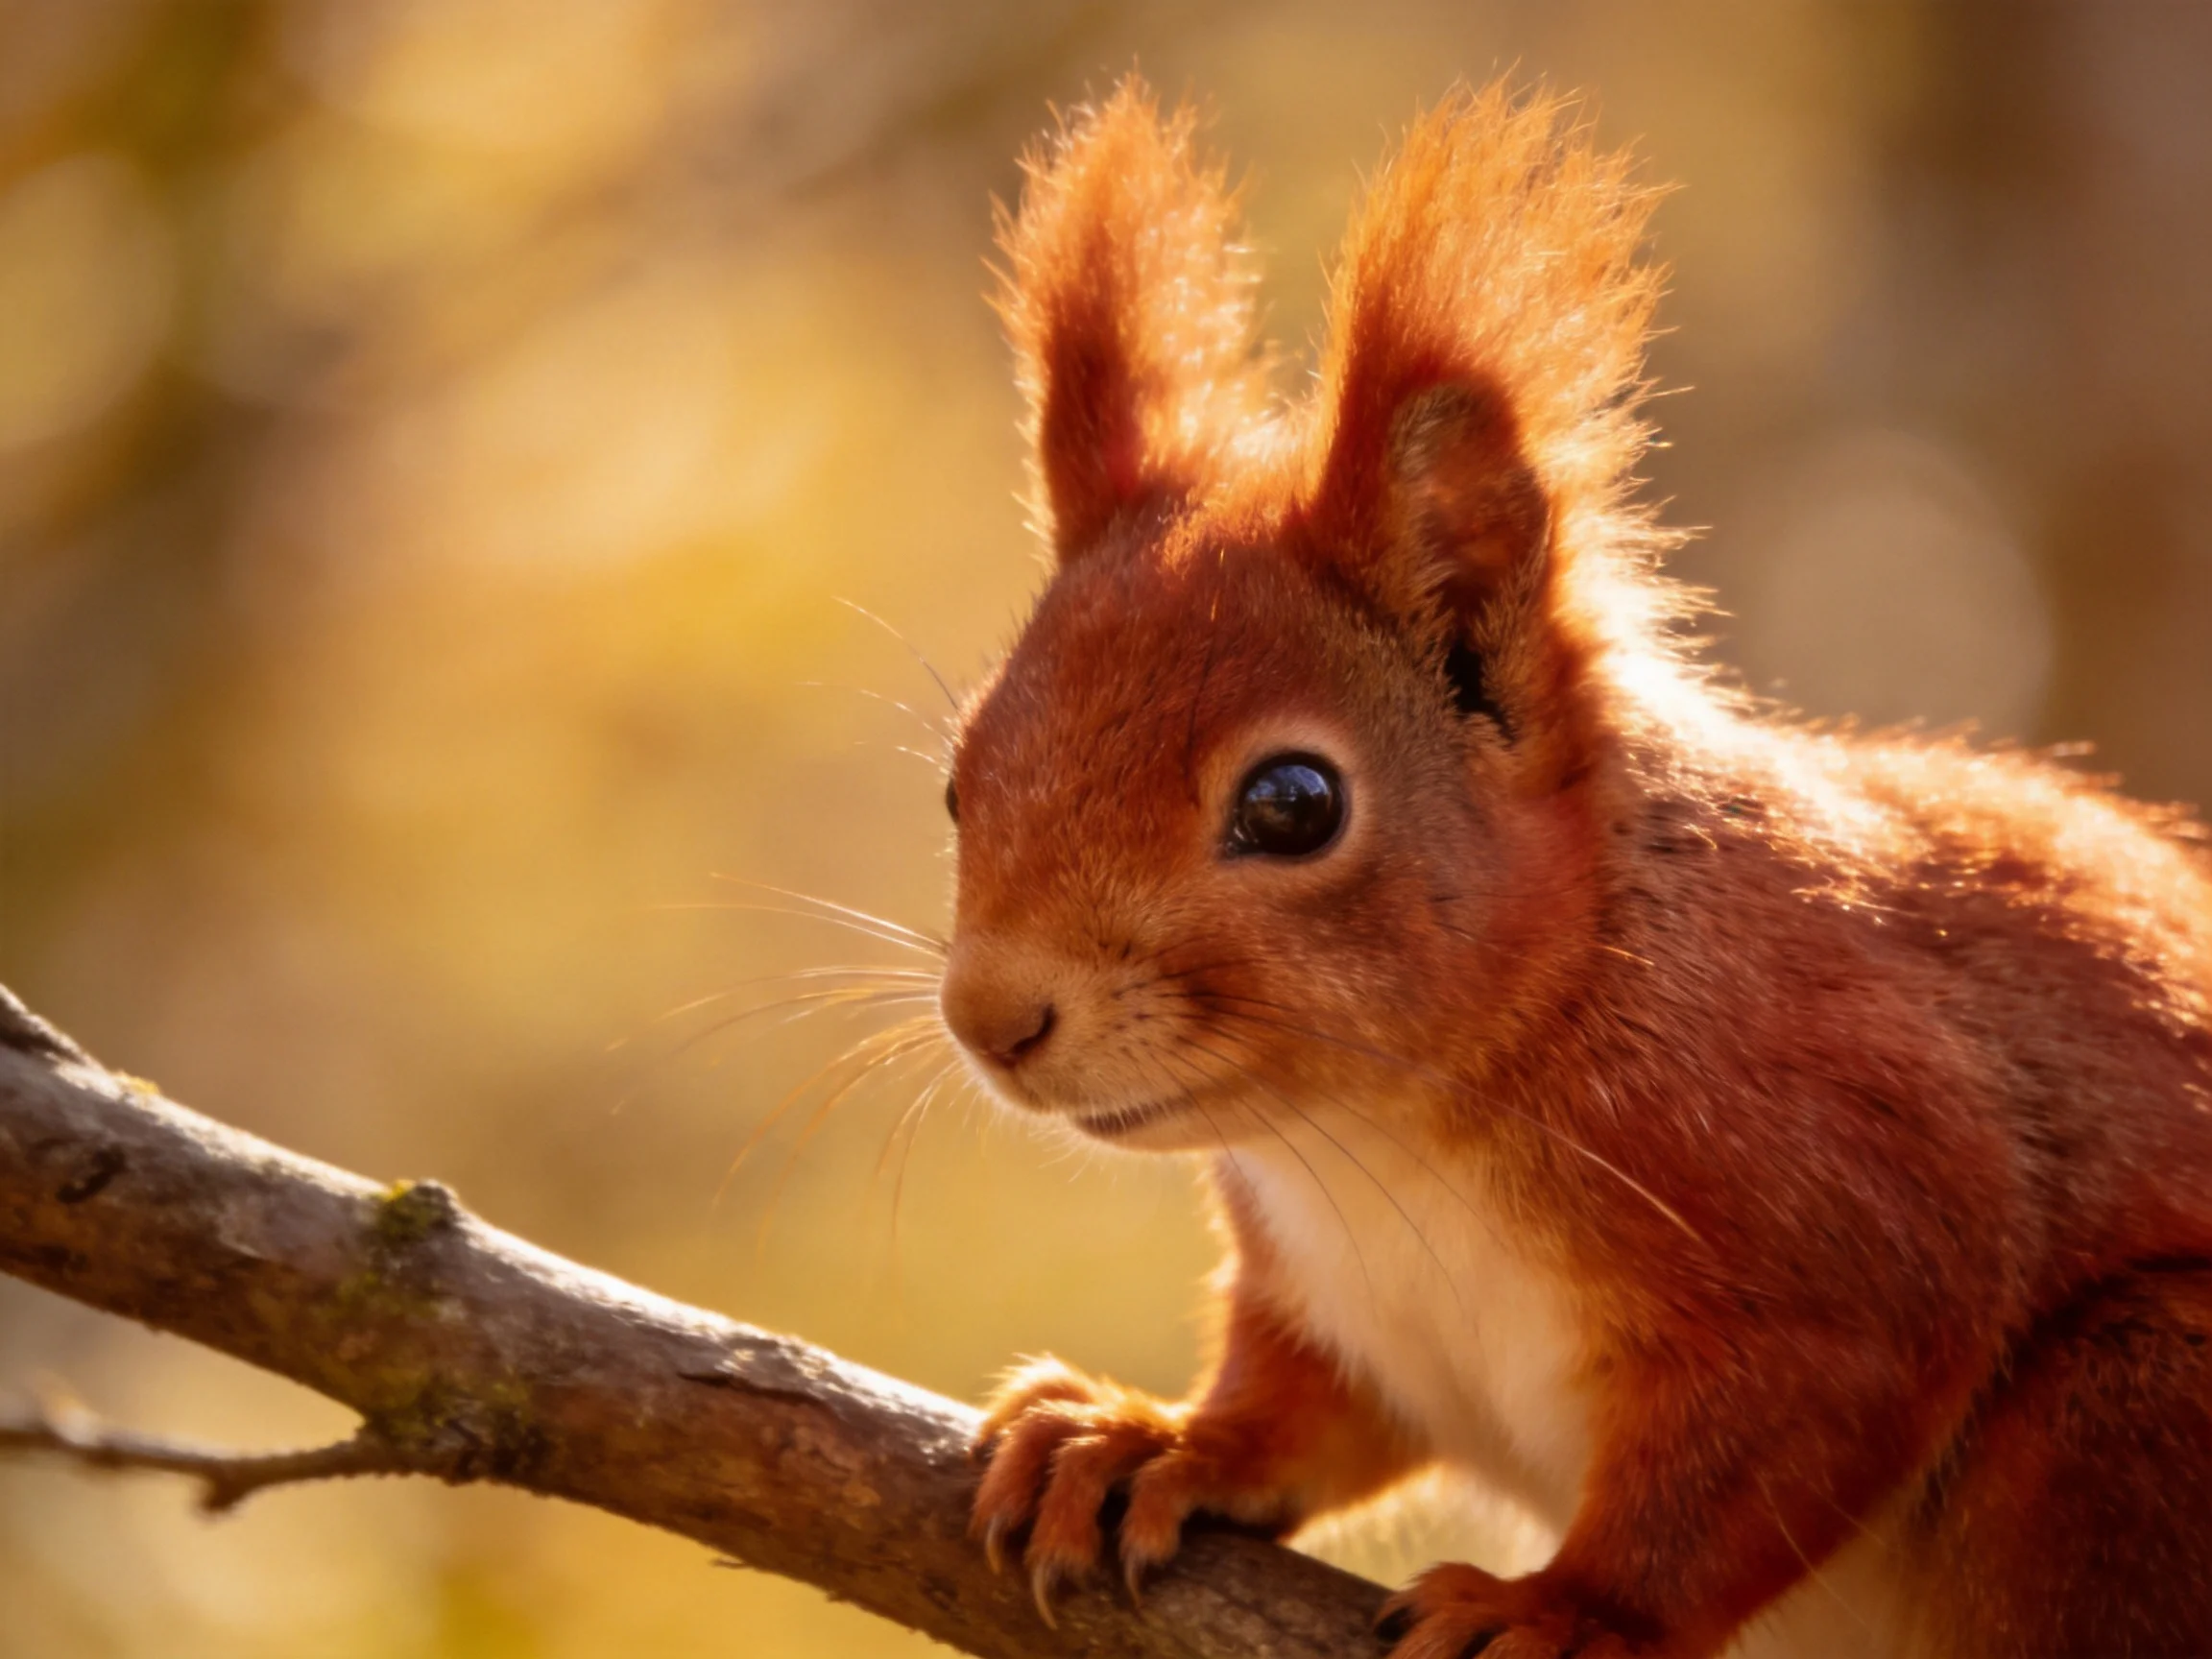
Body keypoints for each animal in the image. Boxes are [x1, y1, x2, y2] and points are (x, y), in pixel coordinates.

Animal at [931, 77, 2212, 1659]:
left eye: (1293, 804)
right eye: (957, 777)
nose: (992, 1019)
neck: (1387, 1139)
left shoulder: (1858, 1199)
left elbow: (1754, 1464)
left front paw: (1567, 1612)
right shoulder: (1343, 1310)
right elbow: (1303, 1414)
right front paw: (1148, 1443)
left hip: (2132, 1404)